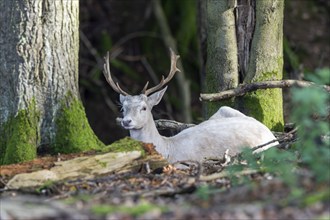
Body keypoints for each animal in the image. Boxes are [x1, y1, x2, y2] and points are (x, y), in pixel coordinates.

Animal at [103, 49, 278, 163]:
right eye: (122, 107)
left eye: (144, 107)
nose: (126, 121)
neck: (168, 149)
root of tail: (271, 135)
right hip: (224, 110)